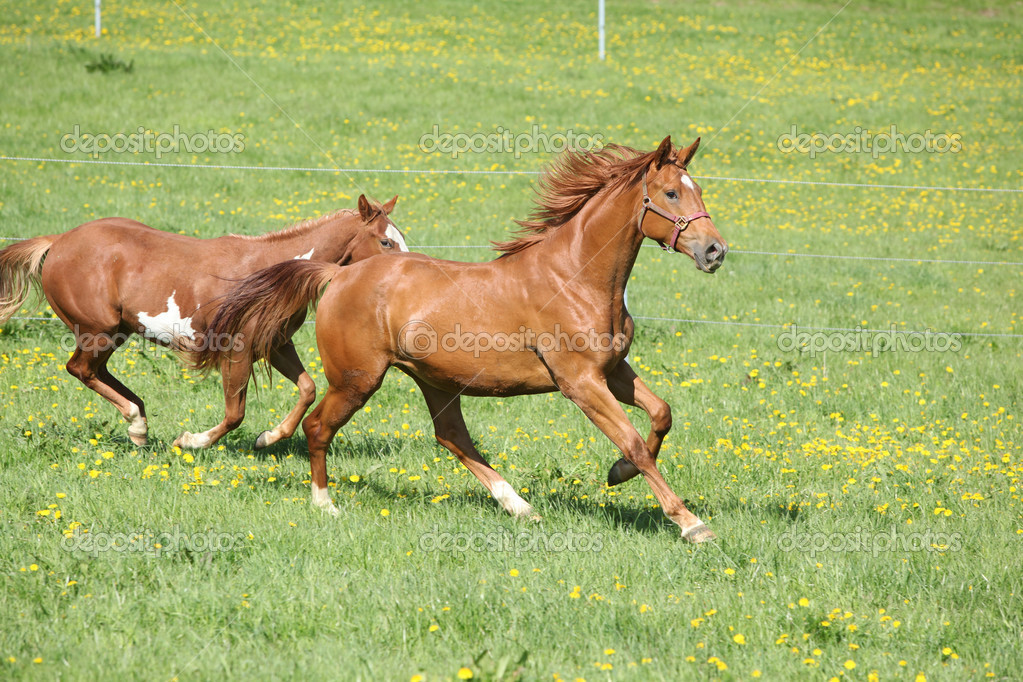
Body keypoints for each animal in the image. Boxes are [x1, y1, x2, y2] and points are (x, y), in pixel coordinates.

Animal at [0, 195, 407, 449]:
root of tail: (59, 241)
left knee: (94, 371)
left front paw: (268, 437)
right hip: (97, 331)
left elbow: (307, 389)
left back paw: (139, 423)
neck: (267, 271)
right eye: (386, 242)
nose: (404, 271)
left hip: (117, 332)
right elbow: (235, 413)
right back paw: (136, 422)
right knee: (81, 369)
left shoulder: (276, 345)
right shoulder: (236, 349)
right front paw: (191, 441)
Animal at [198, 136, 727, 542]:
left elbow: (661, 415)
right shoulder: (580, 382)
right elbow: (635, 441)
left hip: (434, 379)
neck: (575, 277)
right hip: (357, 379)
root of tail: (337, 274)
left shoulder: (613, 371)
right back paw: (323, 501)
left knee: (451, 436)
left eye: (698, 189)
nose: (715, 251)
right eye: (670, 193)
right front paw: (690, 523)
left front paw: (617, 474)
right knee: (318, 427)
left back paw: (519, 506)